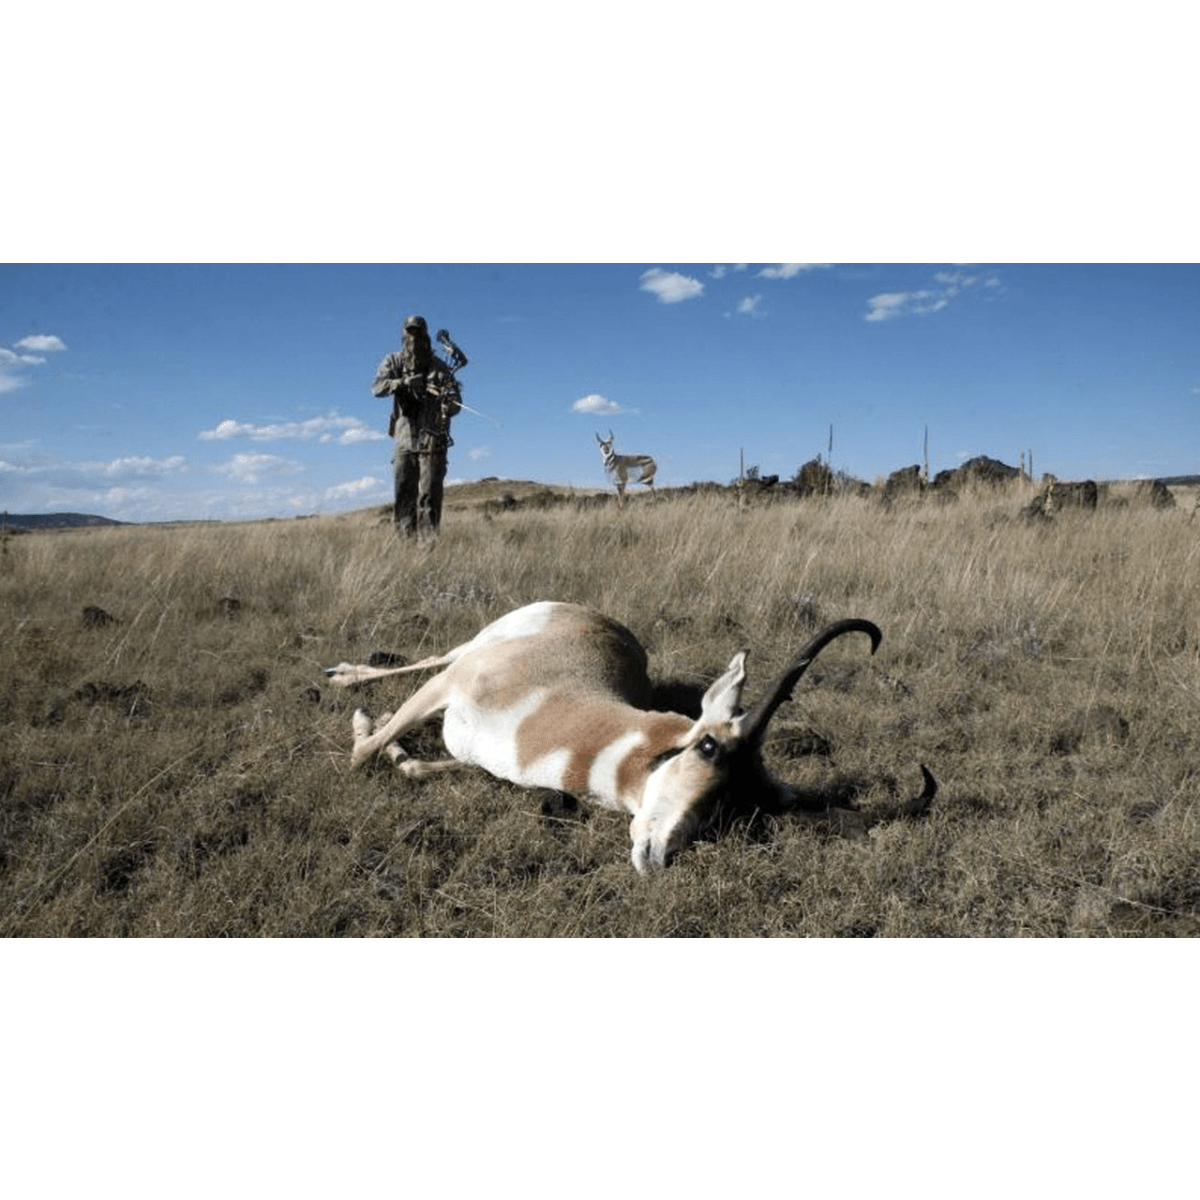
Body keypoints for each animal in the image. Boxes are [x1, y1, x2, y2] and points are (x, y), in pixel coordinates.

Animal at [326, 601, 935, 873]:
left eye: (739, 808)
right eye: (708, 746)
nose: (661, 855)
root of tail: (590, 614)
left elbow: (414, 762)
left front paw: (401, 752)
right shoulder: (449, 687)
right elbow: (360, 754)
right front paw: (366, 723)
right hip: (465, 653)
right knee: (430, 658)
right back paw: (343, 677)